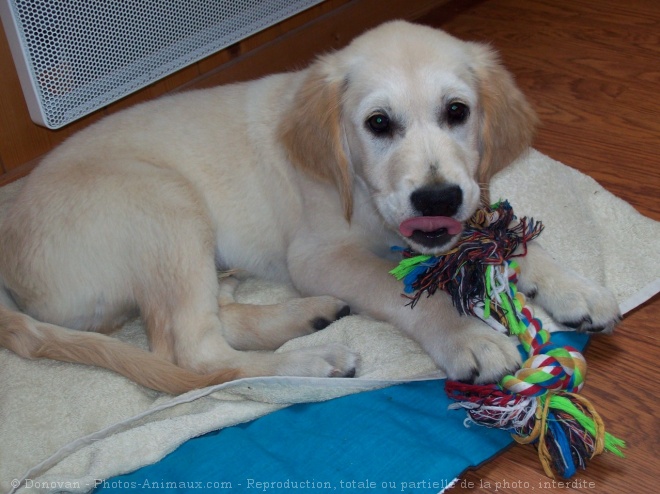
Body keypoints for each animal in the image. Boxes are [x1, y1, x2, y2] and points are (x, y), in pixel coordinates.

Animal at [0, 22, 620, 394]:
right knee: (194, 353)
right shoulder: (318, 255)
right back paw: (311, 361)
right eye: (378, 123)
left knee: (210, 318)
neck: (359, 192)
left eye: (457, 111)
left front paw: (571, 285)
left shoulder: (467, 193)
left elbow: (503, 234)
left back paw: (306, 317)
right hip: (163, 202)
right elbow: (400, 290)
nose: (436, 199)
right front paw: (466, 334)